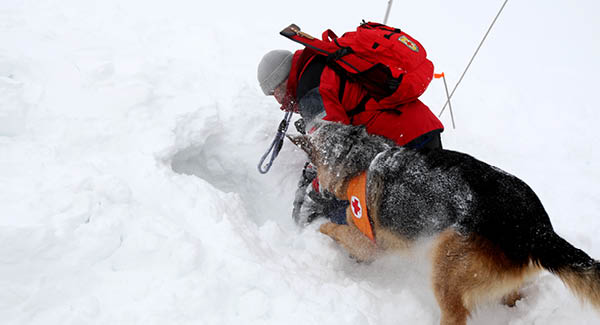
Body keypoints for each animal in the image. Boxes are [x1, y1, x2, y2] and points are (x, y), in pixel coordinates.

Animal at [290, 121, 600, 324]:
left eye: (317, 125)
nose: (299, 122)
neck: (361, 158)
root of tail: (536, 228)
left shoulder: (370, 242)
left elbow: (335, 229)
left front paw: (319, 231)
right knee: (511, 297)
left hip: (447, 266)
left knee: (455, 312)